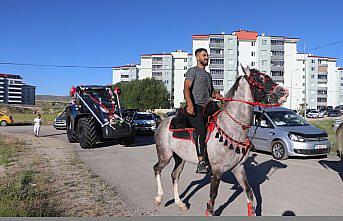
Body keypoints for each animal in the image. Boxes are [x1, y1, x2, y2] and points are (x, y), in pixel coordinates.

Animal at [155, 66, 288, 216]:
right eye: (260, 78)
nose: (284, 91)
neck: (232, 127)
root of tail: (162, 122)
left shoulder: (238, 168)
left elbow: (249, 193)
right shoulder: (217, 170)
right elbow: (212, 198)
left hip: (180, 158)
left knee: (175, 175)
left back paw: (180, 203)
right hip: (165, 155)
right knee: (157, 169)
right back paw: (159, 198)